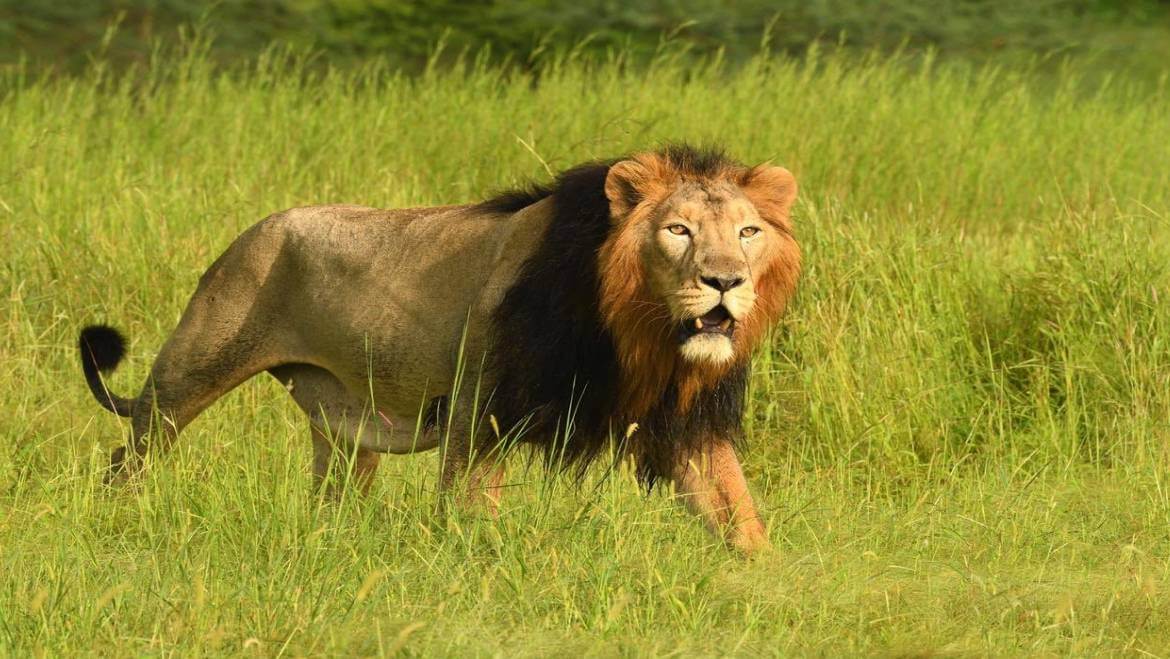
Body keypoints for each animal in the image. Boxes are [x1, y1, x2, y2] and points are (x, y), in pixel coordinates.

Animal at [78, 144, 800, 554]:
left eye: (748, 232)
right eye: (678, 230)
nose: (726, 281)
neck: (634, 331)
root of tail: (255, 228)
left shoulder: (687, 423)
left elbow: (739, 515)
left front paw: (772, 589)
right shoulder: (479, 411)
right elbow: (470, 511)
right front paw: (479, 574)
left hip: (344, 427)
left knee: (332, 492)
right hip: (189, 369)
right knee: (131, 452)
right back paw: (119, 519)